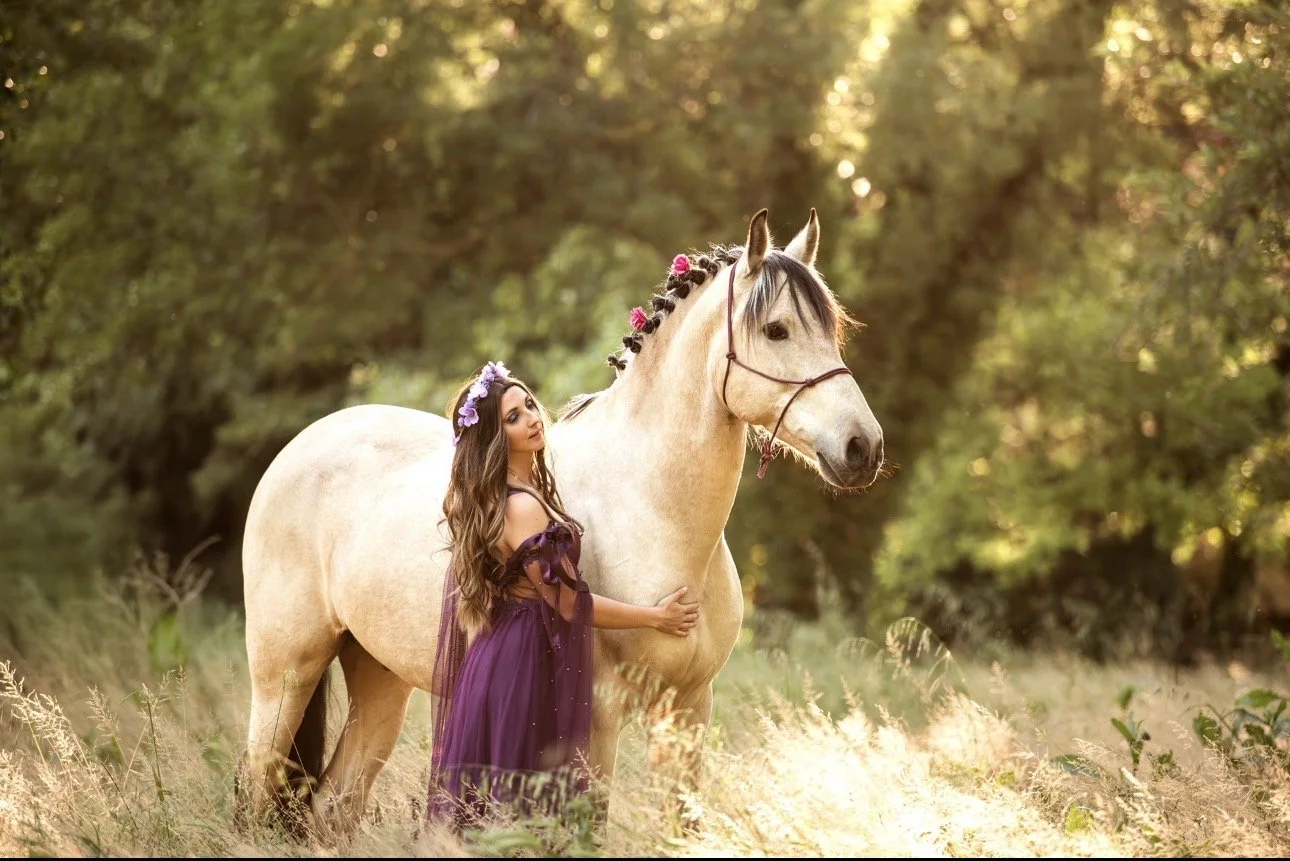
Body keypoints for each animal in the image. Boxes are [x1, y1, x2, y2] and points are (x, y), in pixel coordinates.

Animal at [238, 208, 885, 839]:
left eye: (832, 328)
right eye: (776, 330)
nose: (863, 447)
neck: (650, 509)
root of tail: (300, 446)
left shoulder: (687, 710)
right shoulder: (597, 716)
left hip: (380, 681)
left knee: (331, 809)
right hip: (284, 678)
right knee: (256, 793)